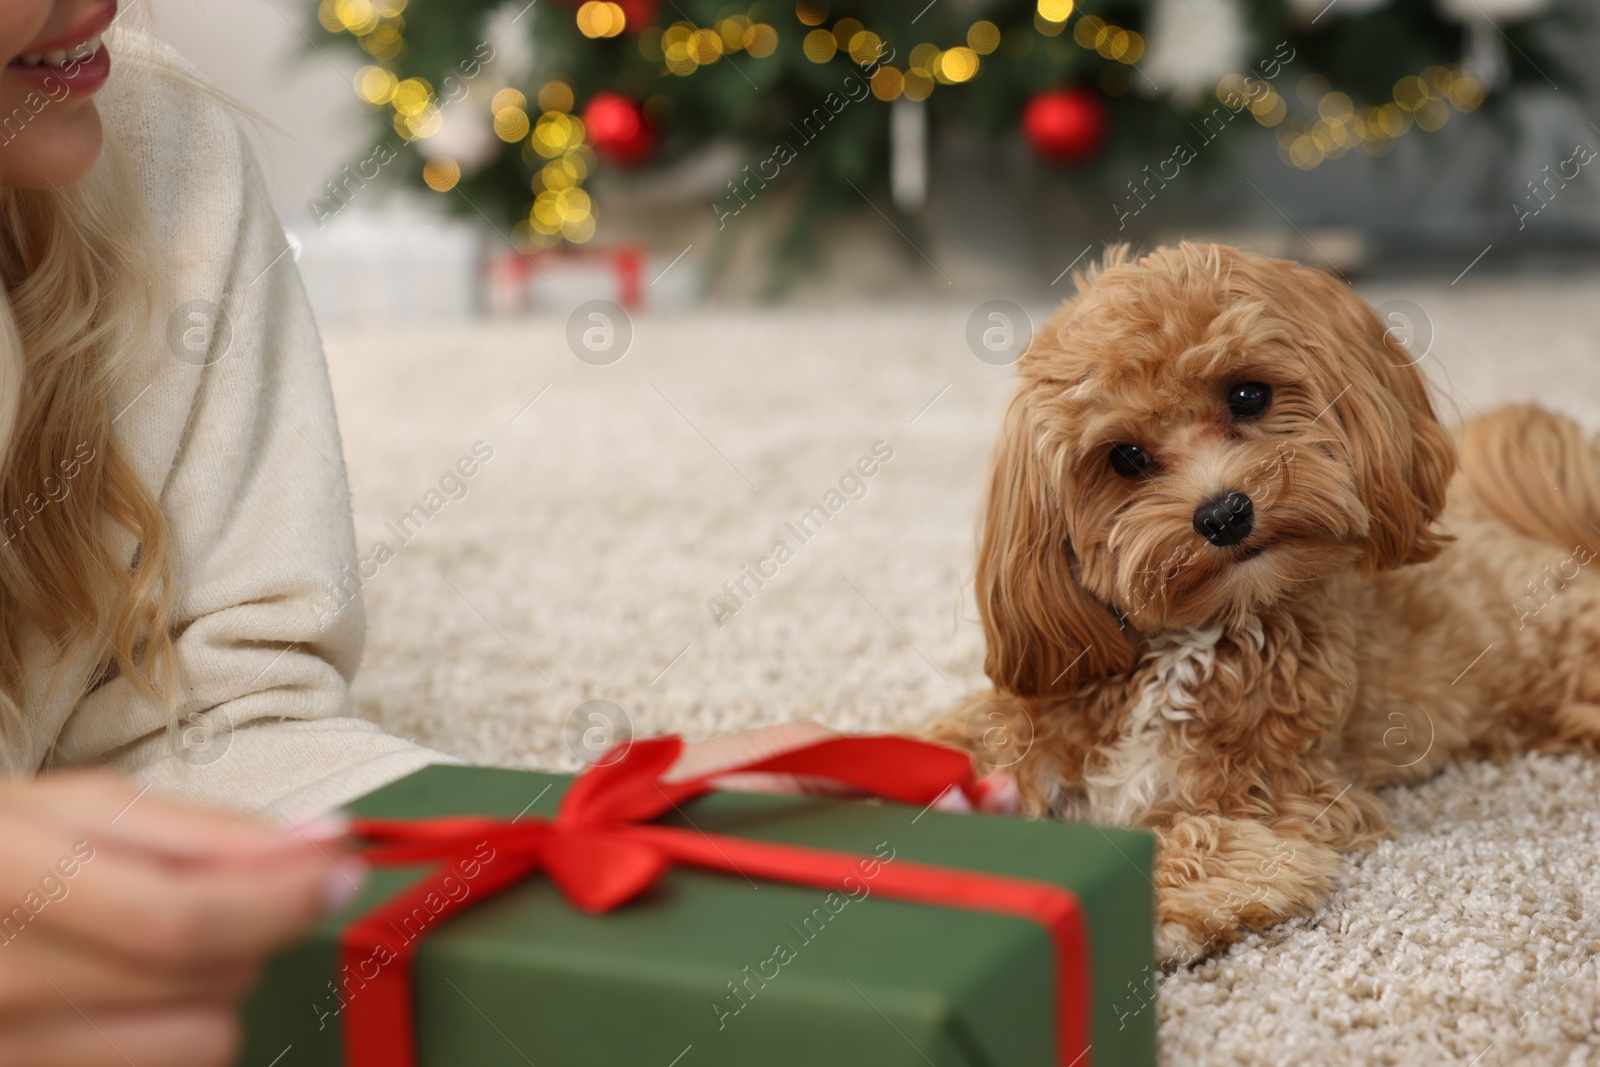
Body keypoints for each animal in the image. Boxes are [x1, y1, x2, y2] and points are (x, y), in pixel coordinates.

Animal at [928, 241, 1600, 966]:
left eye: (1249, 394)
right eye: (1125, 457)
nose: (1224, 513)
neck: (1192, 640)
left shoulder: (1272, 796)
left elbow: (1182, 837)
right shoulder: (1039, 711)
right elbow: (956, 739)